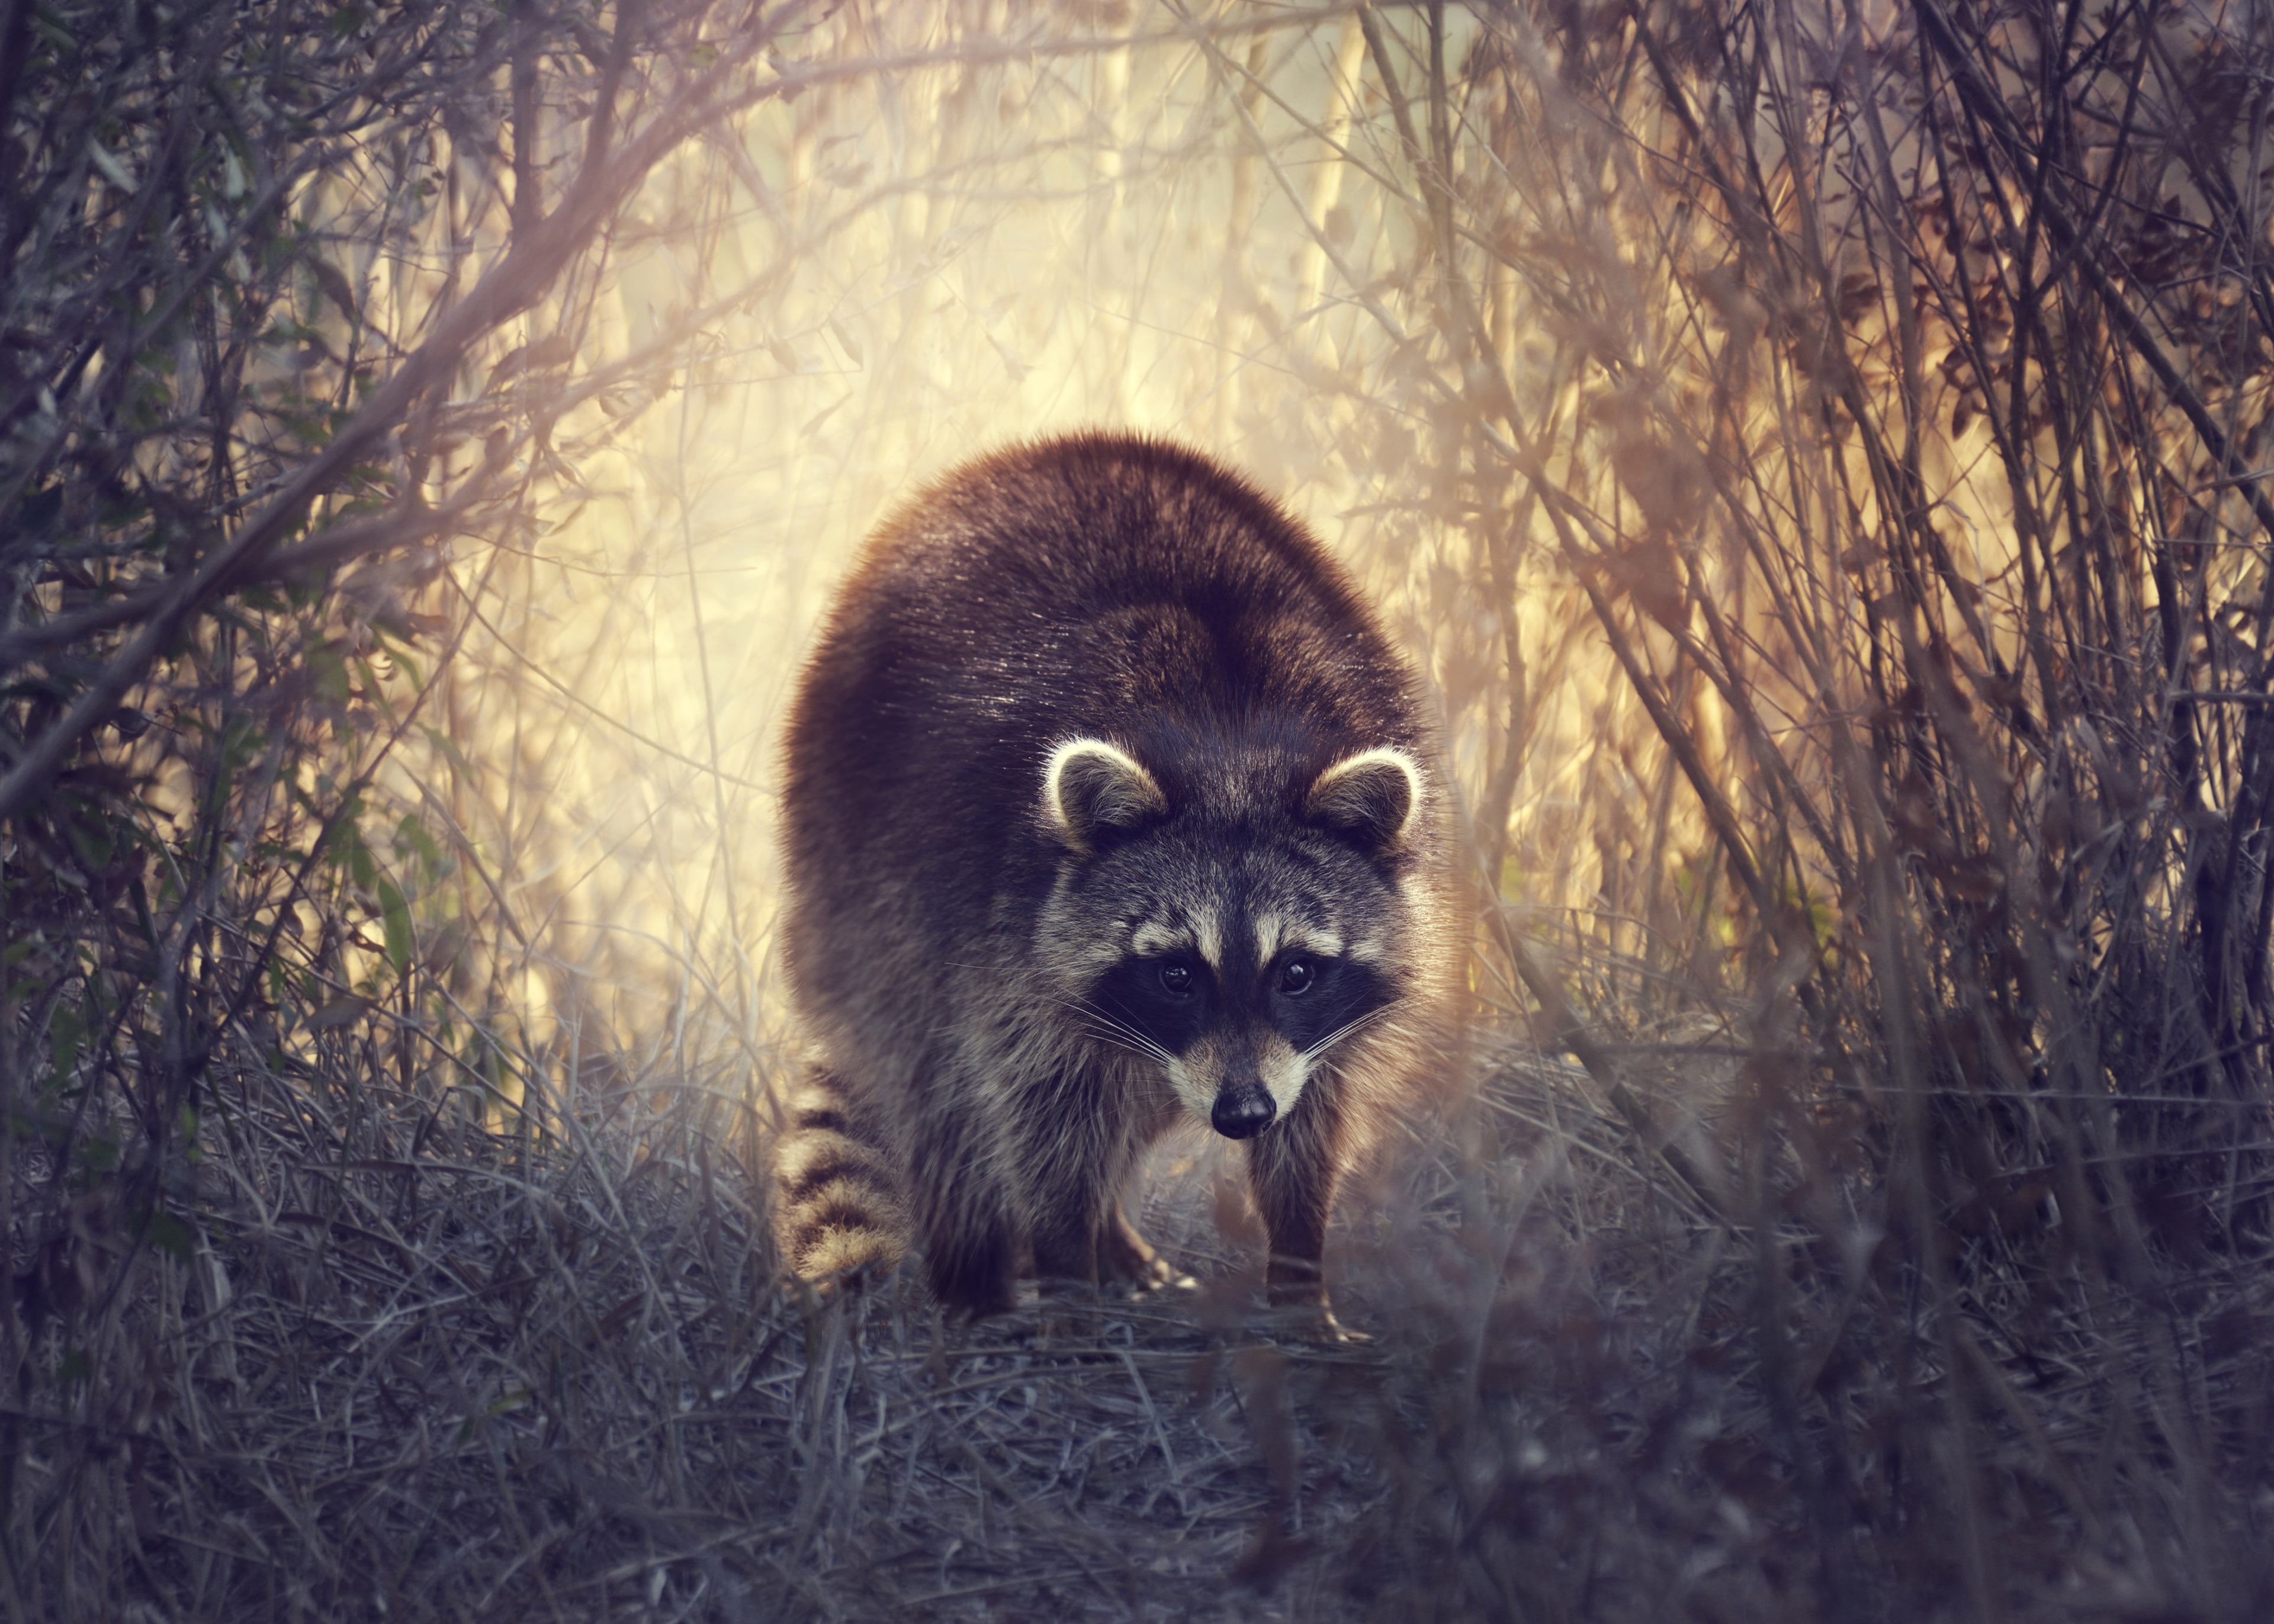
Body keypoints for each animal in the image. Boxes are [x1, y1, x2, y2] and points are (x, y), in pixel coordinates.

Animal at [772, 433, 1460, 1315]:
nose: (1242, 1113)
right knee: (942, 1090)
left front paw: (1300, 1272)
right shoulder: (997, 922)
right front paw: (1068, 1266)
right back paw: (978, 1280)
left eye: (1297, 971)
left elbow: (1313, 1116)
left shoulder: (1317, 1028)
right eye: (1176, 972)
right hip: (858, 865)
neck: (1229, 746)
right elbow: (1038, 1108)